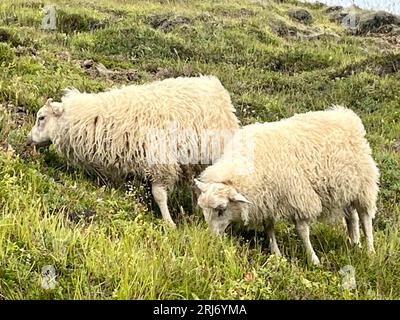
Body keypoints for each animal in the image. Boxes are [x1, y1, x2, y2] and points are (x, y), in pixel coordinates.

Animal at [28, 76, 241, 228]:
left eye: (41, 117)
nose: (28, 140)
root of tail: (216, 87)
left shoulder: (159, 162)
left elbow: (159, 195)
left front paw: (169, 223)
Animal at [195, 106, 380, 264]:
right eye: (204, 210)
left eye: (221, 210)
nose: (211, 239)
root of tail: (345, 114)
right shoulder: (268, 199)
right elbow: (268, 227)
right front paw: (276, 254)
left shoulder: (299, 197)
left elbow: (302, 230)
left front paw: (313, 259)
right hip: (345, 188)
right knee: (352, 217)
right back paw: (354, 244)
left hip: (364, 185)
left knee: (365, 217)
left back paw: (370, 251)